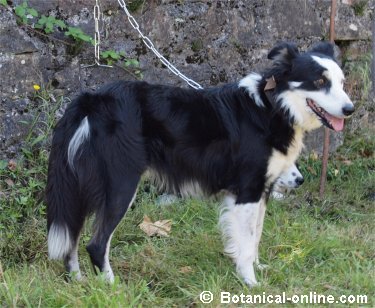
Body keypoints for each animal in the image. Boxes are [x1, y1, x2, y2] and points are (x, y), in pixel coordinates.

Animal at [45, 41, 354, 286]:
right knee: (96, 244)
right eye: (319, 83)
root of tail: (91, 99)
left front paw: (257, 269)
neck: (272, 106)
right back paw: (112, 287)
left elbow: (254, 237)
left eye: (341, 83)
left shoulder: (260, 191)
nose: (350, 109)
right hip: (120, 184)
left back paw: (78, 282)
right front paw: (251, 283)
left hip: (81, 187)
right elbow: (246, 242)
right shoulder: (248, 191)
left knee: (72, 240)